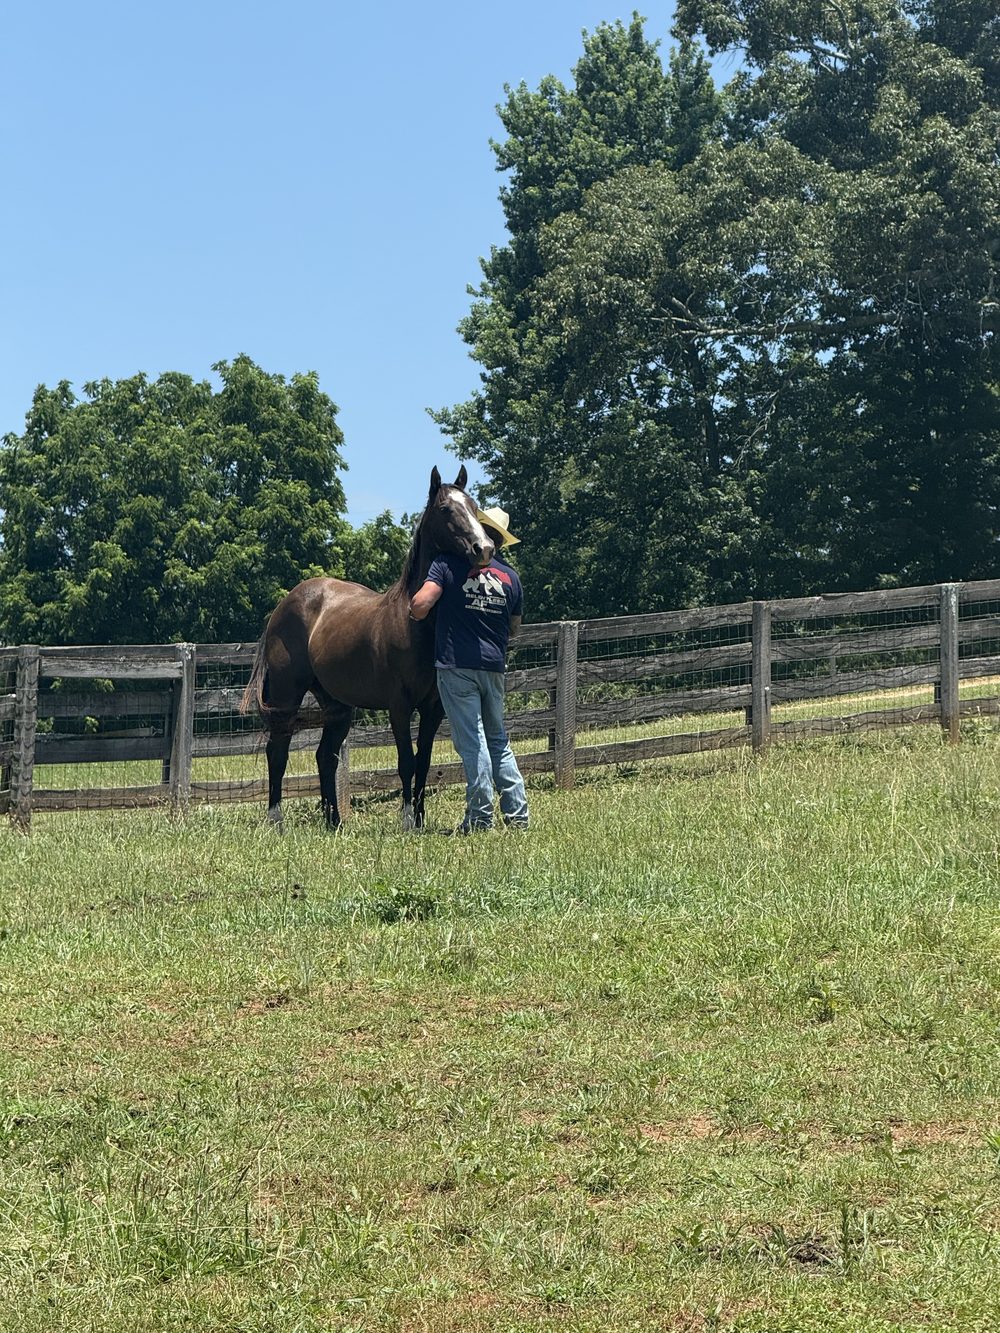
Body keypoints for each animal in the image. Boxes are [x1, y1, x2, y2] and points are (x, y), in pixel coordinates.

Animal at [239, 465, 494, 830]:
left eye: (473, 506)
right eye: (446, 509)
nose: (484, 548)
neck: (414, 621)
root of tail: (283, 605)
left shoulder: (433, 708)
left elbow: (424, 761)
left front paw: (420, 819)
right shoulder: (399, 707)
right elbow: (406, 761)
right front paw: (407, 820)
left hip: (338, 706)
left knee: (325, 757)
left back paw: (334, 822)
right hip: (286, 697)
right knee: (278, 751)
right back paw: (276, 820)